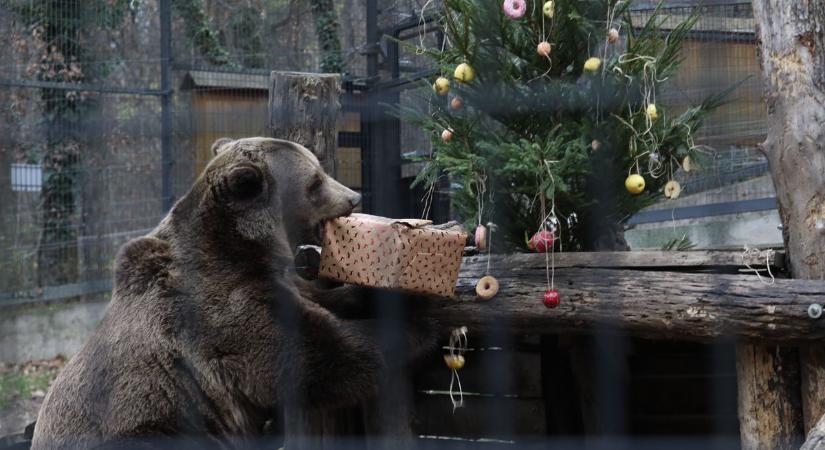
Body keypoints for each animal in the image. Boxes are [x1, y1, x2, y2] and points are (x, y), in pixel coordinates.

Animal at [30, 138, 438, 450]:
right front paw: (426, 317)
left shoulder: (272, 281)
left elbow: (324, 303)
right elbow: (322, 357)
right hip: (157, 424)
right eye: (315, 181)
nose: (353, 196)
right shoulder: (222, 313)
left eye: (320, 171)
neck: (240, 249)